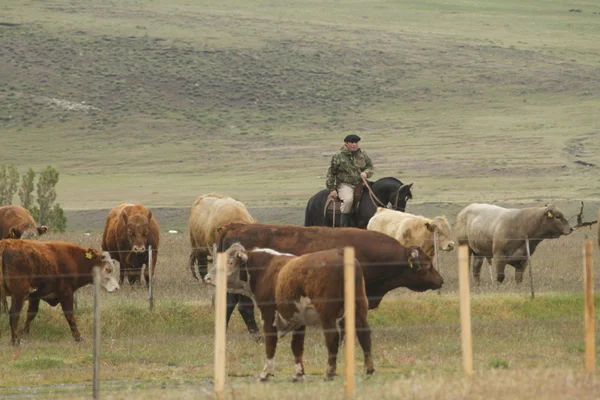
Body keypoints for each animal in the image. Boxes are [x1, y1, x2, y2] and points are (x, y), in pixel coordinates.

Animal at [206, 244, 376, 382]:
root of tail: (339, 253)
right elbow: (297, 346)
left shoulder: (268, 314)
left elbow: (270, 343)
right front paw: (298, 374)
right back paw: (369, 369)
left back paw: (329, 372)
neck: (265, 270)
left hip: (327, 313)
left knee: (332, 338)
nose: (207, 278)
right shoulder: (298, 318)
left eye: (230, 262)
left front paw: (265, 373)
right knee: (364, 334)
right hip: (359, 308)